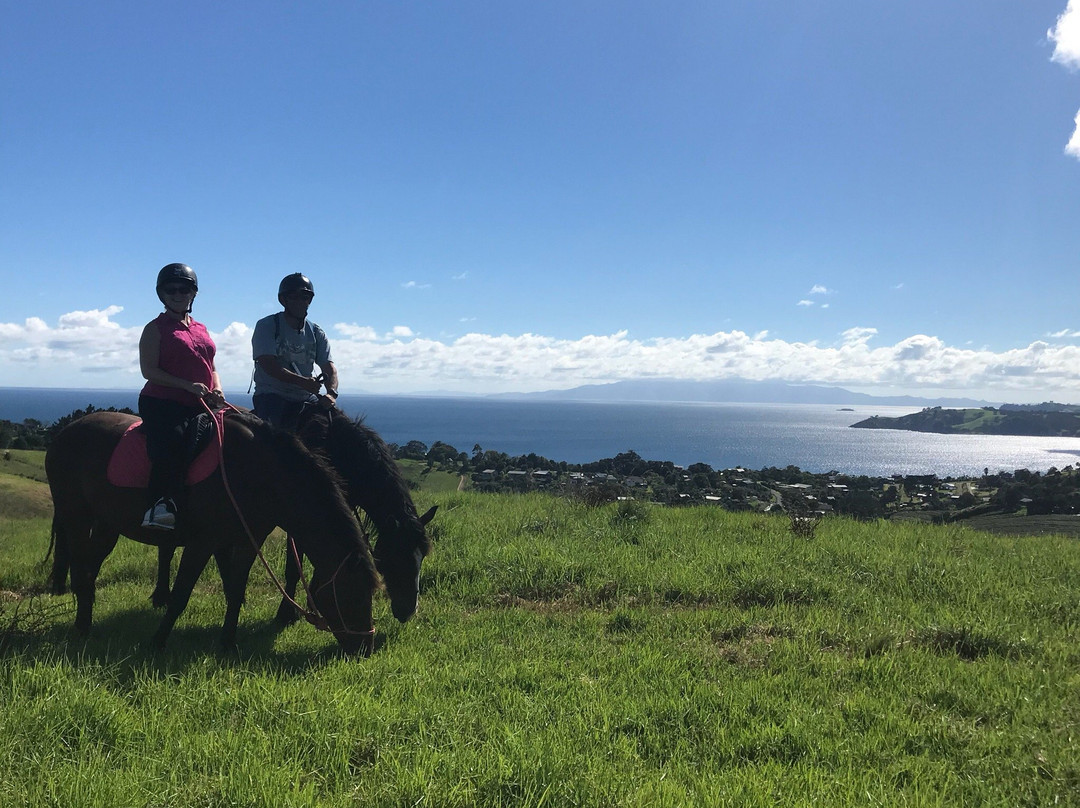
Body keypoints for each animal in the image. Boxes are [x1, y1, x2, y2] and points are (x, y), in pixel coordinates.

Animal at [47, 410, 384, 656]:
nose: (365, 648)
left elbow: (235, 590)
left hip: (108, 524)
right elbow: (181, 594)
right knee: (80, 569)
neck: (257, 473)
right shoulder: (203, 542)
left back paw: (86, 620)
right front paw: (158, 641)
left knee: (89, 570)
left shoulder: (248, 540)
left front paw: (228, 642)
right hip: (76, 517)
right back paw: (81, 628)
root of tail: (66, 431)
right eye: (352, 592)